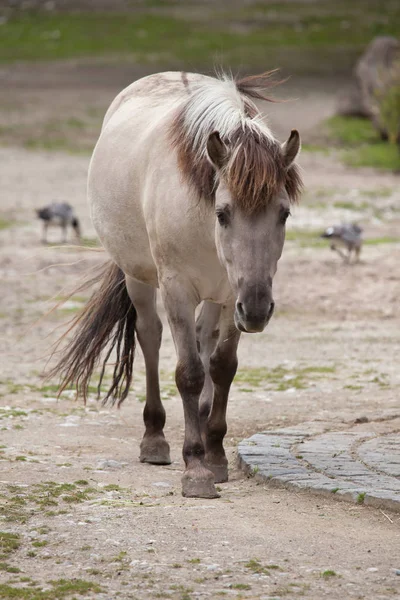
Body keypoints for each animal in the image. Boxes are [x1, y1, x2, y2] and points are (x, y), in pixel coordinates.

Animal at [49, 70, 300, 500]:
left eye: (282, 214)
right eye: (223, 213)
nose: (257, 309)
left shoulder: (232, 296)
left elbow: (222, 367)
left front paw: (215, 454)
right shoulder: (178, 290)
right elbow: (189, 373)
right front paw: (196, 468)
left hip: (218, 298)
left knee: (204, 339)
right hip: (139, 278)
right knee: (150, 336)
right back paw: (154, 438)